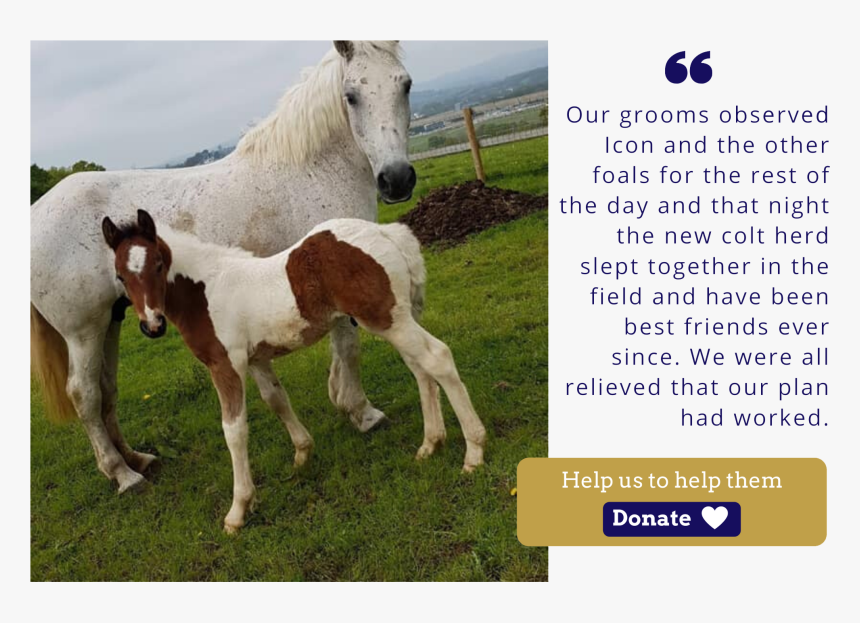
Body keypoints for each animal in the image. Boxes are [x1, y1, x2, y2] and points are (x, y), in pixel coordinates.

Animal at [31, 41, 416, 494]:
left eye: (405, 85)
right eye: (351, 95)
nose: (397, 179)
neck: (312, 172)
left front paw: (343, 400)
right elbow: (348, 345)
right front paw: (362, 413)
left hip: (112, 319)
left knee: (106, 388)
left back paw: (137, 459)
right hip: (83, 331)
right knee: (84, 394)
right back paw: (123, 475)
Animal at [101, 209, 486, 532]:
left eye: (159, 265)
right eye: (120, 276)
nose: (152, 325)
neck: (205, 291)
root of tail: (385, 232)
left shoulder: (225, 365)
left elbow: (234, 430)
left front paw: (238, 510)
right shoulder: (257, 359)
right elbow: (276, 400)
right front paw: (302, 454)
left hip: (386, 320)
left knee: (438, 358)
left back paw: (474, 452)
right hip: (395, 320)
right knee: (420, 369)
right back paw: (430, 445)